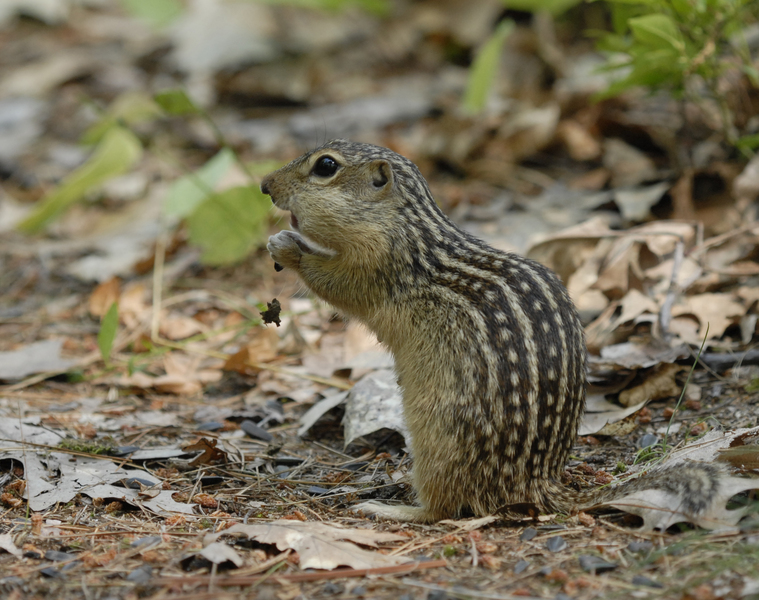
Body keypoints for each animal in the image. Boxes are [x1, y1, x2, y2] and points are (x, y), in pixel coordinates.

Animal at [262, 138, 732, 524]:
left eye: (326, 166)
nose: (266, 185)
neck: (406, 229)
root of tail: (539, 481)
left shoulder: (377, 268)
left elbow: (337, 284)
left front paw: (285, 245)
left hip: (436, 440)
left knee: (443, 508)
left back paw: (388, 508)